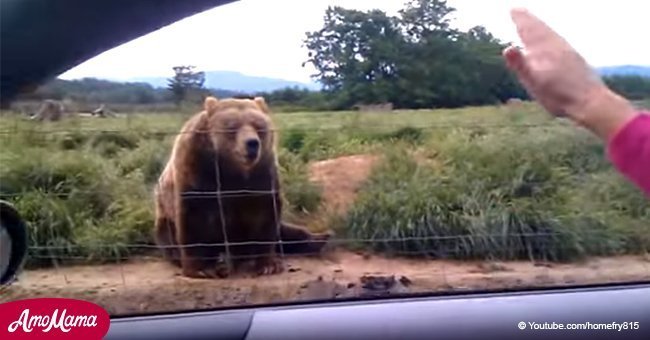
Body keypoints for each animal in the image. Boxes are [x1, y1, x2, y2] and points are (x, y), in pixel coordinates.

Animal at [153, 95, 330, 278]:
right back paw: (219, 261)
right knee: (169, 238)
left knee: (286, 231)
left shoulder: (261, 174)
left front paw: (268, 265)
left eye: (258, 126)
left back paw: (321, 238)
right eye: (232, 127)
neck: (232, 168)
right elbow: (195, 219)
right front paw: (200, 269)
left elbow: (264, 215)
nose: (252, 143)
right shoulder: (197, 170)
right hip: (164, 220)